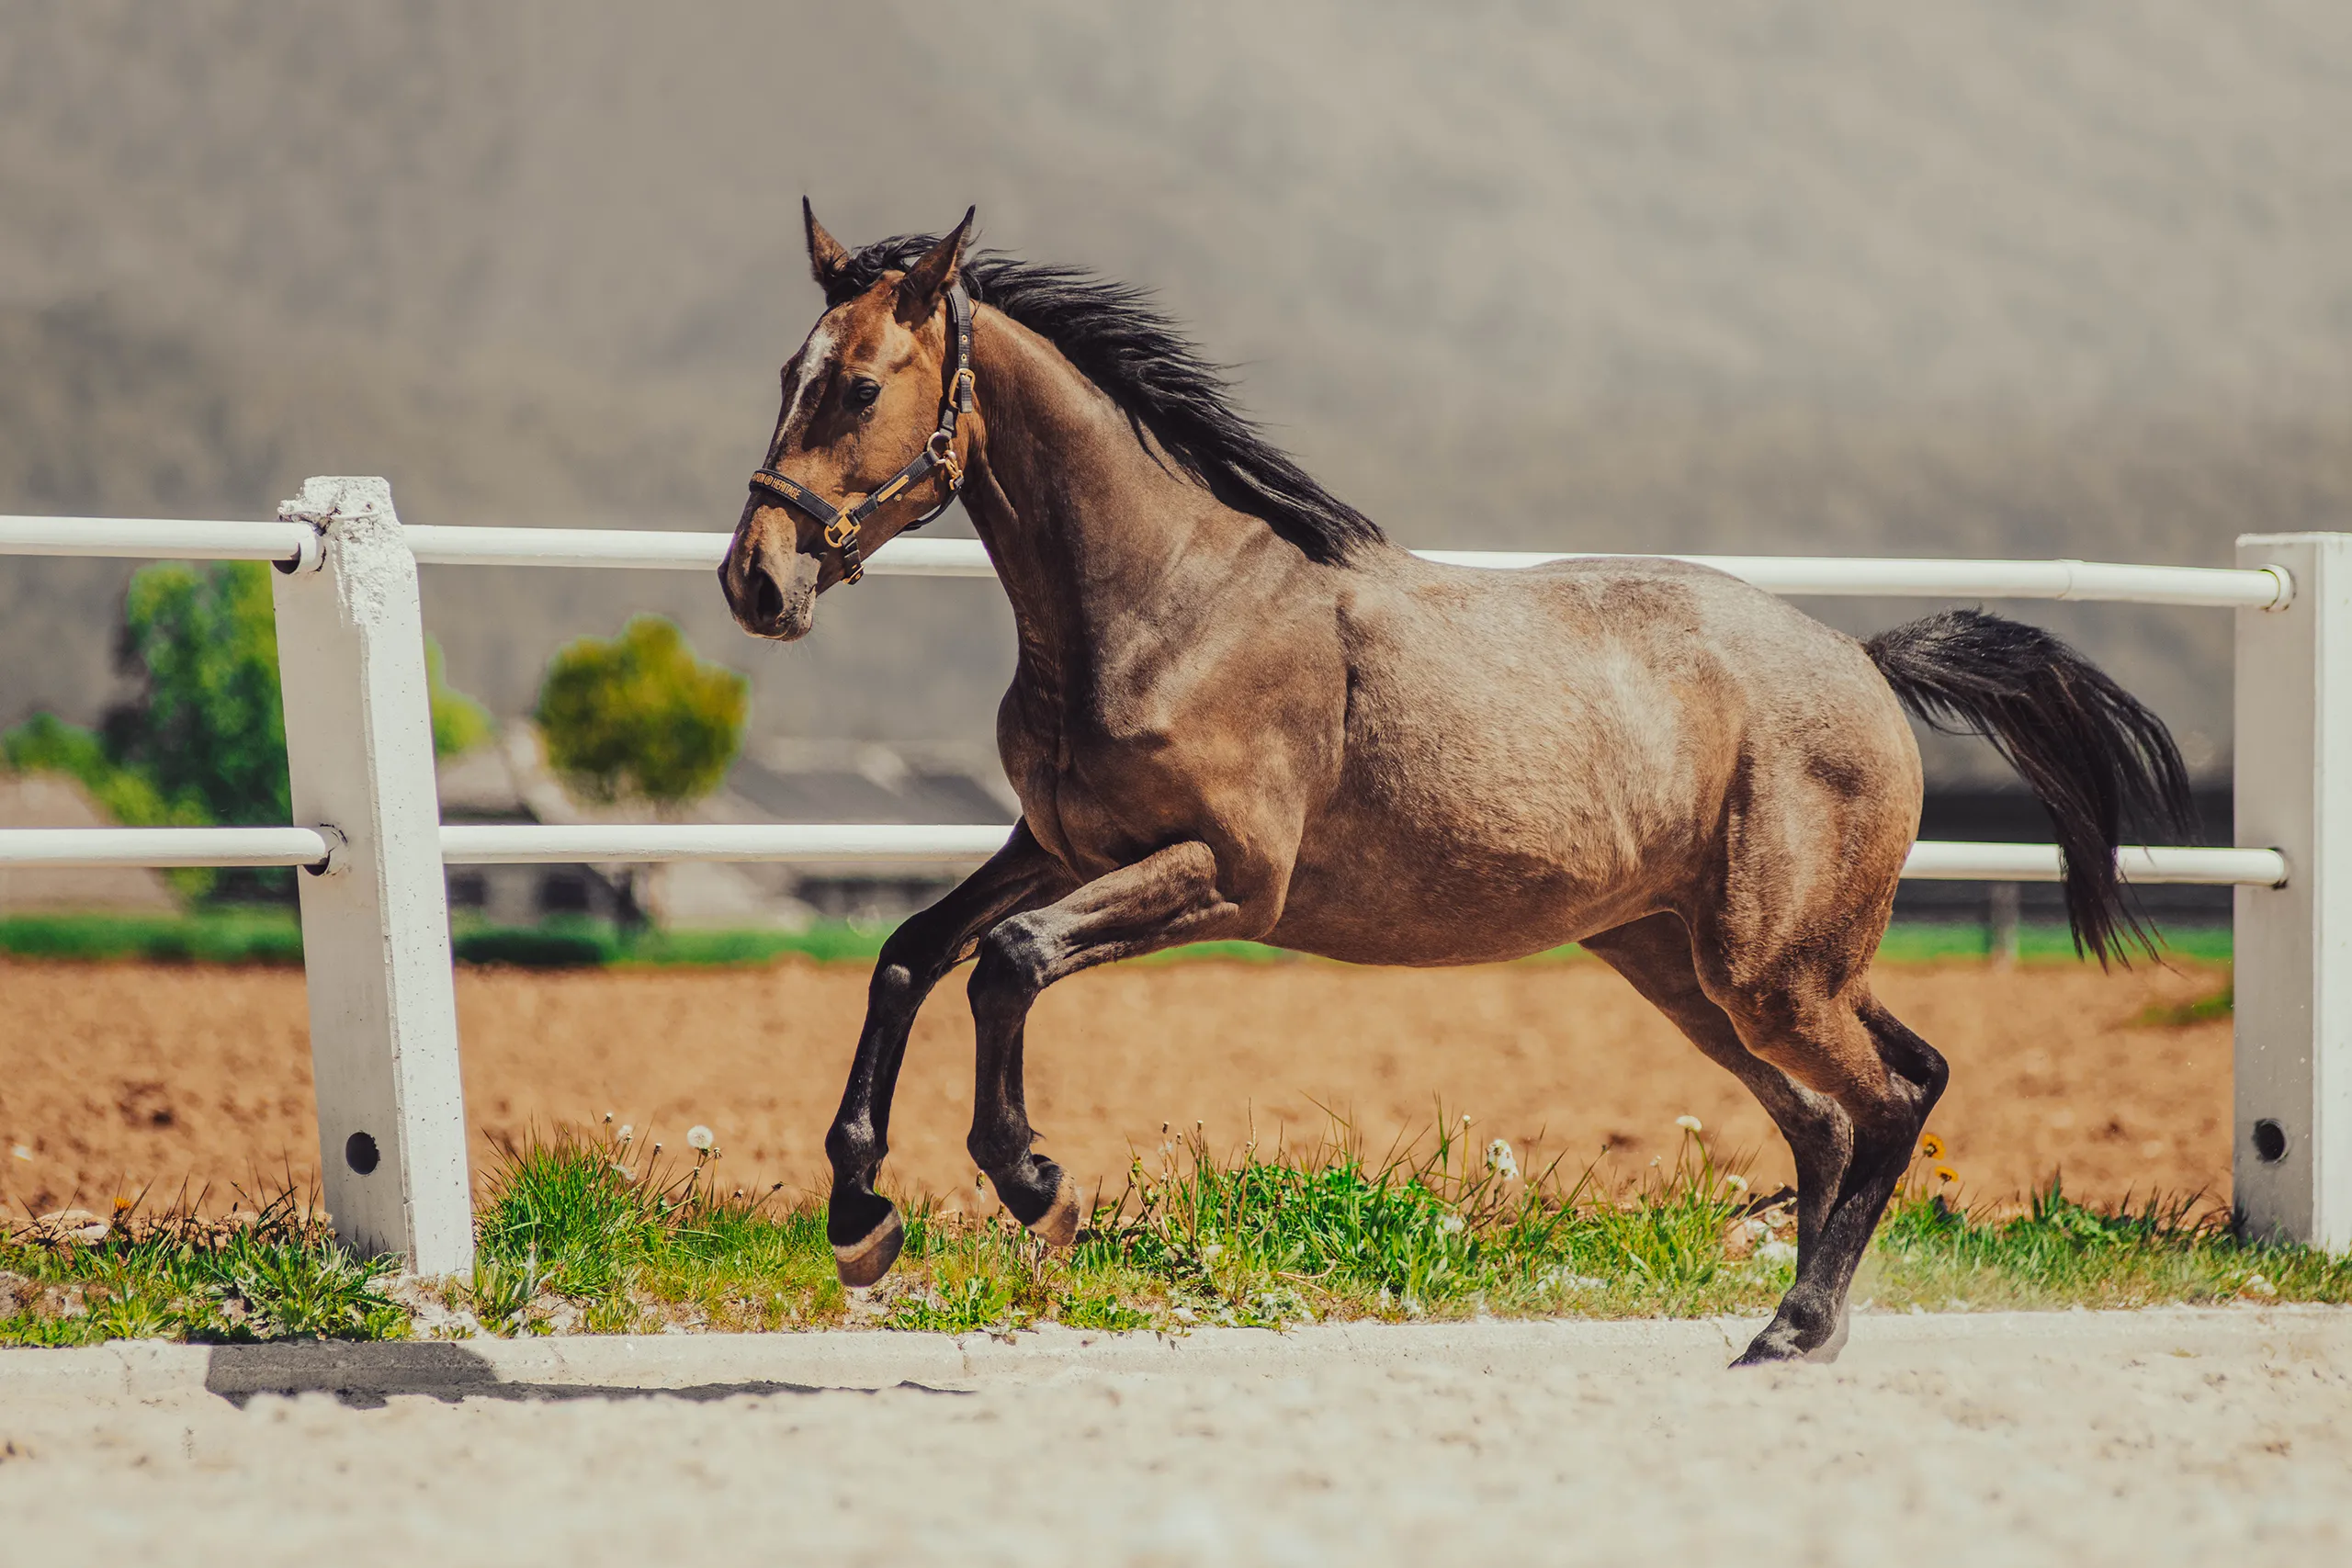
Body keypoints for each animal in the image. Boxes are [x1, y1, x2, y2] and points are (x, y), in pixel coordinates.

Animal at [718, 205, 2192, 1365]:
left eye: (859, 386)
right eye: (788, 370)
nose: (756, 580)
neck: (1165, 603)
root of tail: (1865, 662)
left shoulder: (1226, 880)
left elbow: (1009, 960)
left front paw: (1037, 1184)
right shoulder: (1060, 841)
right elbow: (911, 954)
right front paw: (859, 1222)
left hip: (1772, 969)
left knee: (1889, 1099)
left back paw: (1796, 1330)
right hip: (1692, 966)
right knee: (1849, 1109)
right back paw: (1790, 1321)